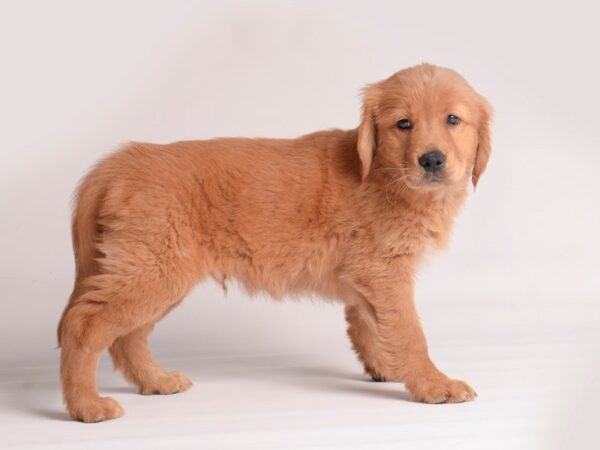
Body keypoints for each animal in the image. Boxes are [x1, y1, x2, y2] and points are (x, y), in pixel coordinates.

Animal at [57, 63, 492, 422]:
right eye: (403, 124)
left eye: (453, 119)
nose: (432, 160)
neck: (382, 174)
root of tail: (121, 161)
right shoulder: (384, 272)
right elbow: (409, 332)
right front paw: (434, 384)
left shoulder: (366, 277)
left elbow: (370, 325)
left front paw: (385, 367)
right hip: (154, 269)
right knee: (84, 325)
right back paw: (86, 406)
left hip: (158, 273)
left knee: (127, 335)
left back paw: (155, 381)